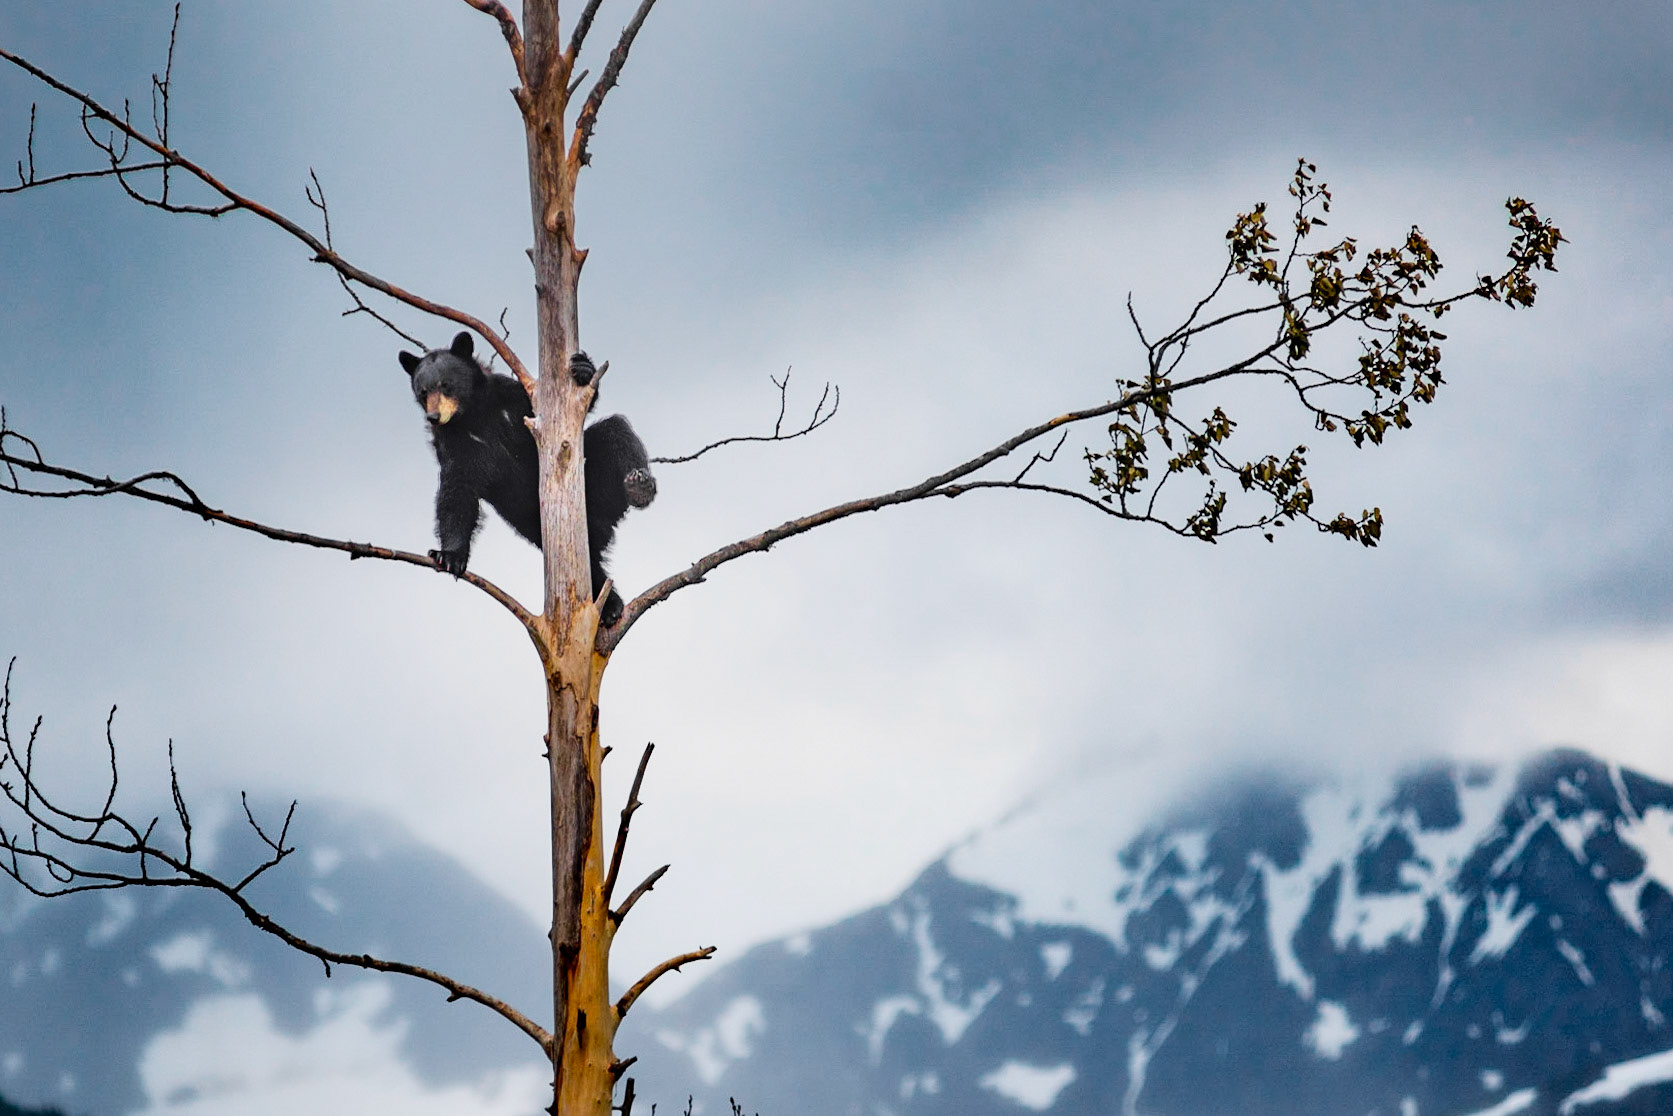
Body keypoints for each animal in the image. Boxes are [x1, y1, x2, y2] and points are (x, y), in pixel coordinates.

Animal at [399, 331, 655, 626]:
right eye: (422, 392)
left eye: (446, 384)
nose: (434, 416)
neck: (475, 414)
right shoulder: (455, 444)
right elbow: (456, 493)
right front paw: (449, 556)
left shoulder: (513, 397)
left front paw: (583, 369)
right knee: (592, 565)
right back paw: (609, 606)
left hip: (596, 481)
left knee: (616, 429)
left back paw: (640, 486)